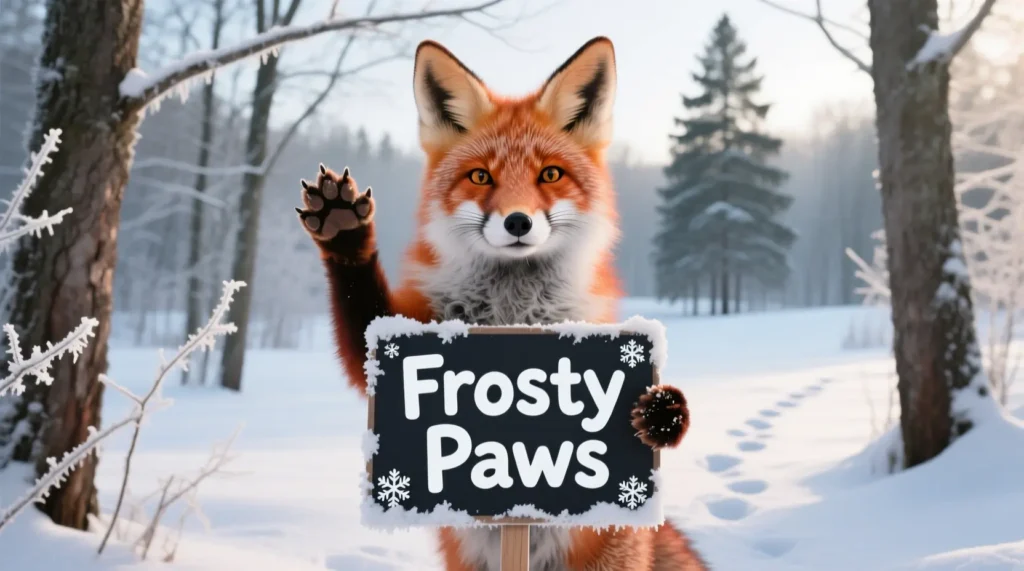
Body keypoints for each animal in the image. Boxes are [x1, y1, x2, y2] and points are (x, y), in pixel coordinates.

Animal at [295, 37, 707, 571]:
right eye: (480, 176)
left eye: (550, 174)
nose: (517, 222)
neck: (513, 312)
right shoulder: (403, 329)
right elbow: (360, 331)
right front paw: (345, 232)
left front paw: (663, 413)